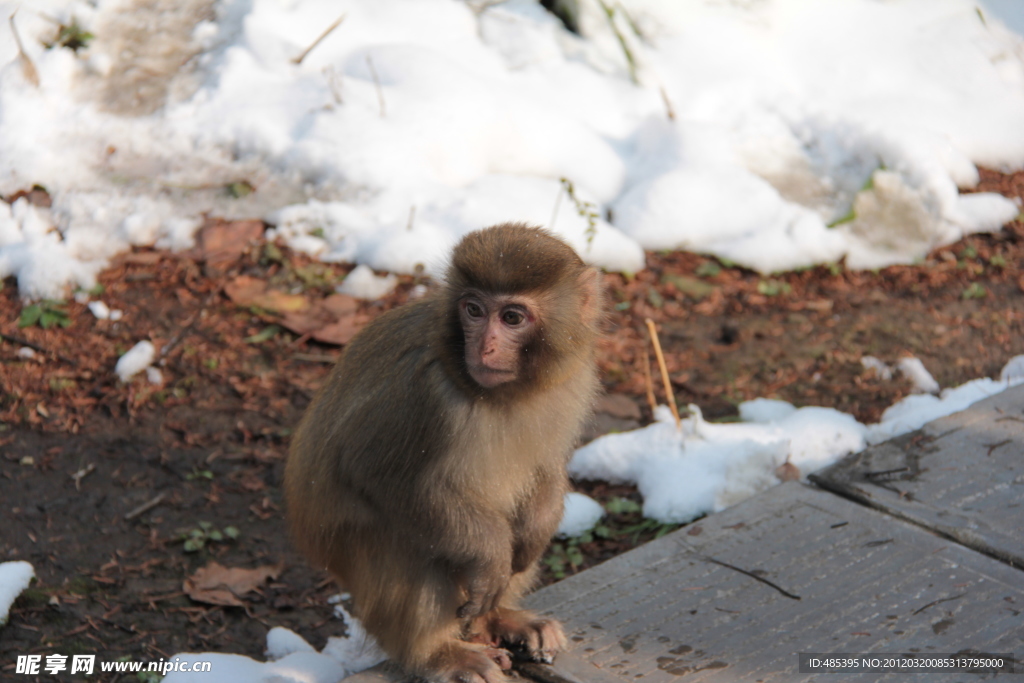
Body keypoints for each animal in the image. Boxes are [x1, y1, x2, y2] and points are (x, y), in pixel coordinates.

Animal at [284, 224, 602, 683]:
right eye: (473, 310)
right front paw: (491, 556)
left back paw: (499, 619)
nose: (484, 348)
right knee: (405, 542)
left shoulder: (573, 378)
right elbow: (374, 474)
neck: (505, 395)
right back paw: (438, 653)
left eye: (512, 317)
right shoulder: (423, 393)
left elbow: (546, 470)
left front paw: (537, 530)